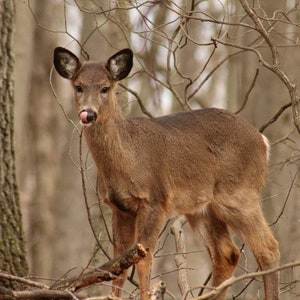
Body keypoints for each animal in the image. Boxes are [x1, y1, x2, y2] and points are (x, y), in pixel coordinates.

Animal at [53, 47, 278, 300]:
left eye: (105, 88)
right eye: (78, 86)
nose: (88, 114)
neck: (129, 159)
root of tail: (262, 141)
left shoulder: (155, 200)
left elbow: (144, 260)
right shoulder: (120, 208)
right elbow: (117, 267)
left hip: (239, 194)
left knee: (268, 248)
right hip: (203, 209)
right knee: (227, 253)